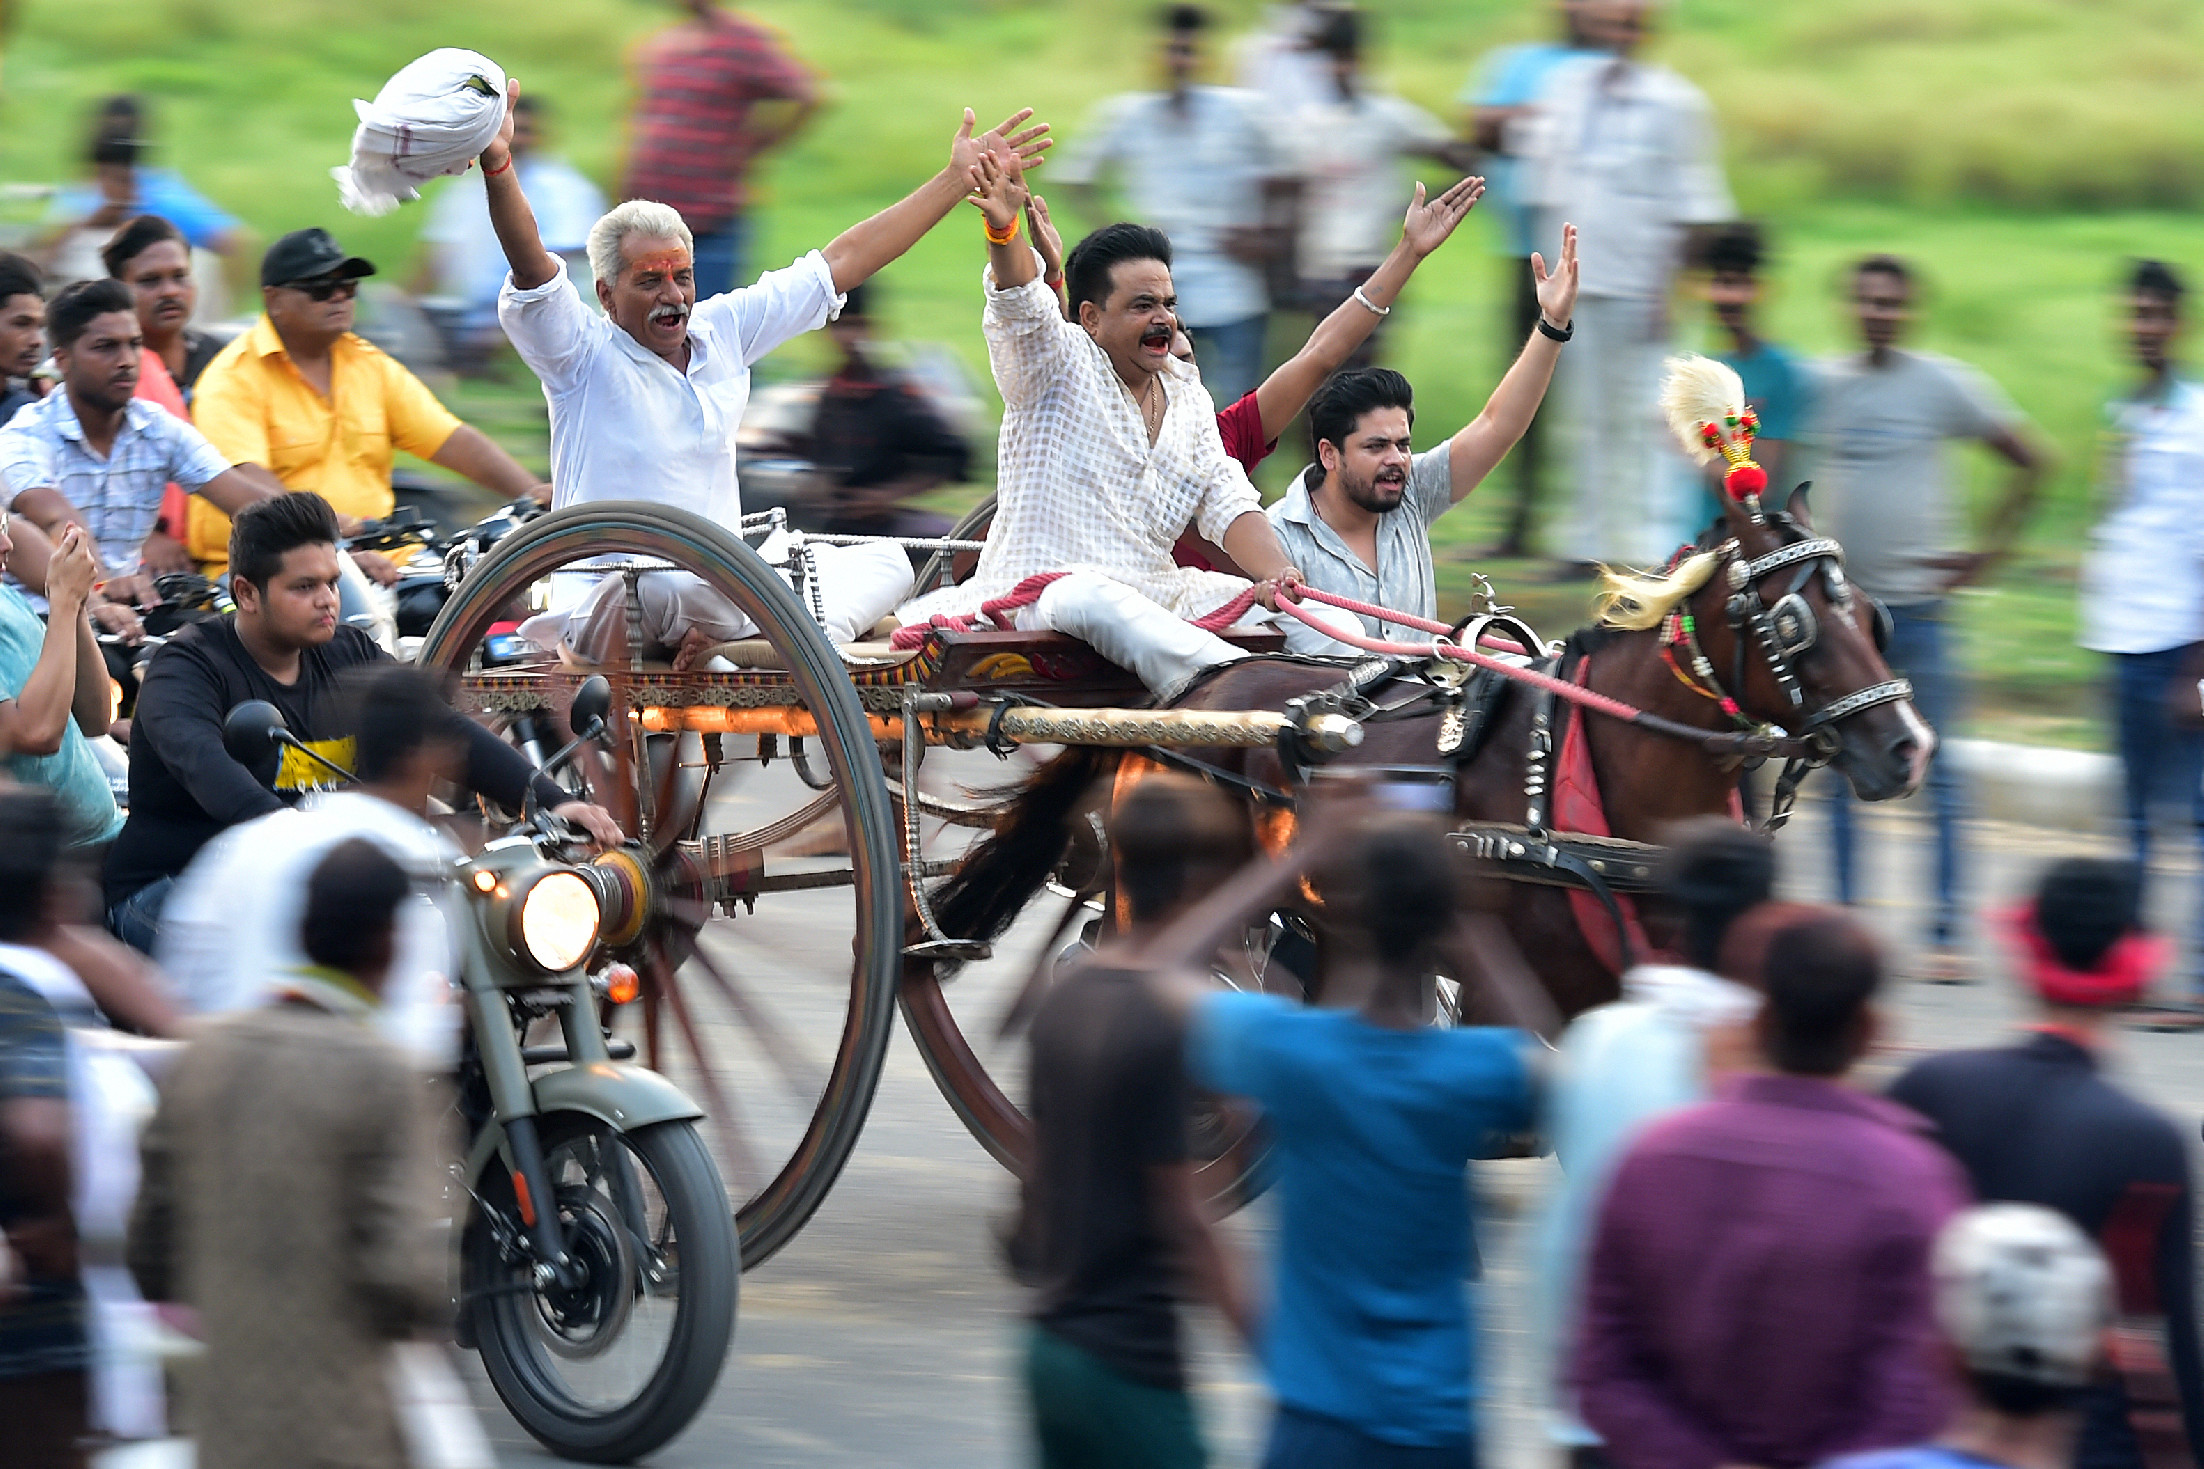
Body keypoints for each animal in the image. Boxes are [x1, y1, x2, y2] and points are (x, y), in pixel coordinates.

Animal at [930, 491, 1930, 1021]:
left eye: (1871, 613)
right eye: (1795, 622)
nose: (1908, 748)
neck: (1574, 777)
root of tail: (1181, 700)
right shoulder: (1545, 982)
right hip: (1165, 893)